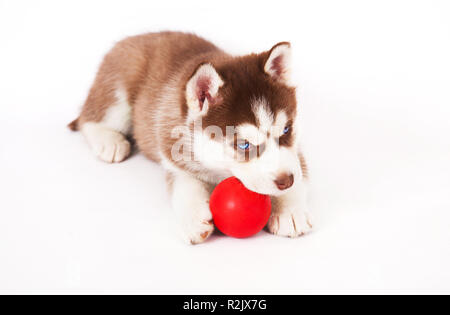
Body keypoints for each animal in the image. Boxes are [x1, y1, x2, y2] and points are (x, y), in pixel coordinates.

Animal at [68, 31, 312, 244]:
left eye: (286, 130)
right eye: (243, 144)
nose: (285, 181)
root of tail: (134, 38)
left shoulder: (296, 151)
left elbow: (298, 168)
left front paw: (290, 210)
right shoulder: (173, 154)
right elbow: (184, 183)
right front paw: (194, 218)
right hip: (119, 87)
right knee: (91, 118)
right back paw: (109, 141)